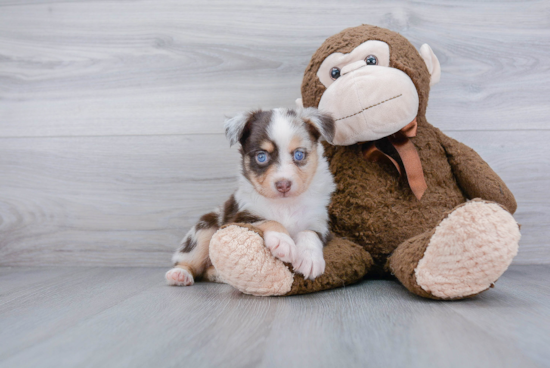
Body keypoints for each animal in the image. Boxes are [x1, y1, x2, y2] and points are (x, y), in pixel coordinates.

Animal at [165, 108, 336, 286]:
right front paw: (283, 241)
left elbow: (309, 233)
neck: (285, 204)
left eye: (299, 154)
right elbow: (270, 220)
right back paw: (180, 274)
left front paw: (309, 258)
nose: (283, 185)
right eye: (261, 157)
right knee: (189, 259)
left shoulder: (320, 223)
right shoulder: (240, 217)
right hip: (204, 230)